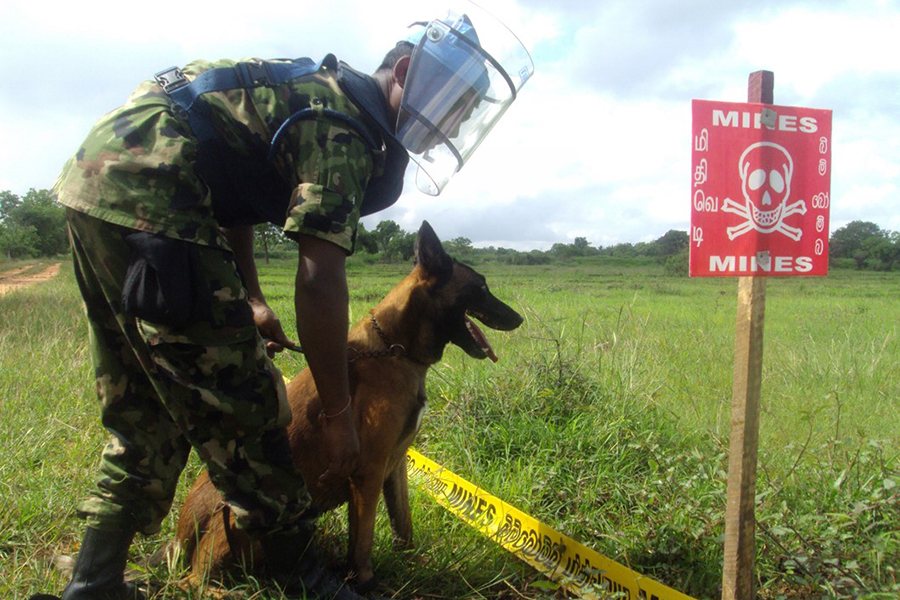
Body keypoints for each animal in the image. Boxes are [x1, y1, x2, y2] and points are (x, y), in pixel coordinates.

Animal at [172, 220, 524, 592]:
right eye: (482, 287)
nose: (518, 319)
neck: (394, 348)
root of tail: (182, 535)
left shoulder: (396, 464)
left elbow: (403, 523)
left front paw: (412, 561)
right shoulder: (368, 472)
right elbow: (363, 540)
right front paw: (365, 582)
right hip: (246, 522)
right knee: (193, 581)